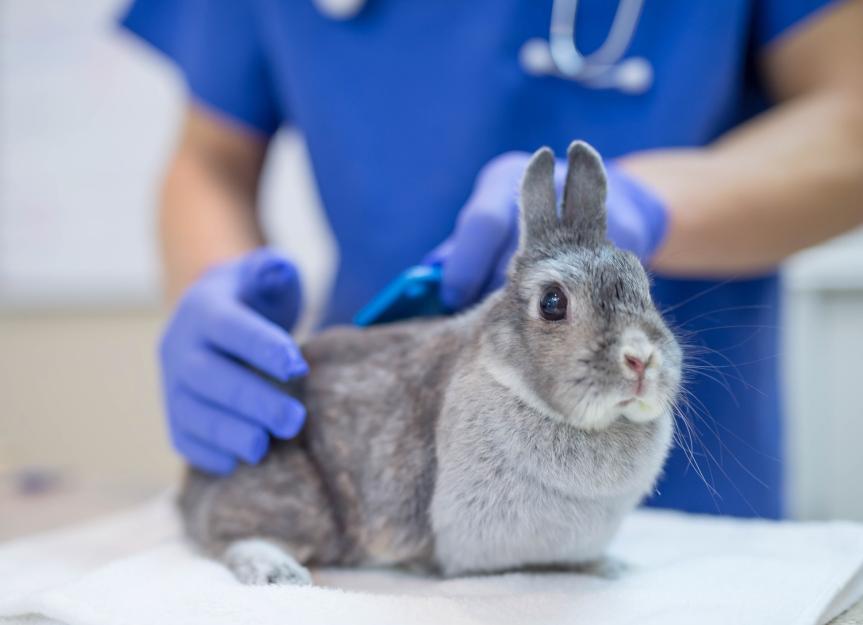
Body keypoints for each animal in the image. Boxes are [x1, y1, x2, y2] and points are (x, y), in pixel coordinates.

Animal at [178, 141, 682, 585]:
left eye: (646, 289)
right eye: (553, 303)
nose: (640, 359)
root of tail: (192, 488)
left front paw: (609, 567)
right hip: (297, 498)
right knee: (231, 536)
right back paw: (277, 572)